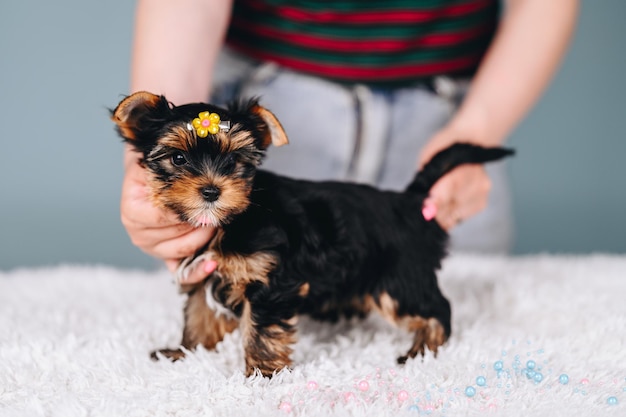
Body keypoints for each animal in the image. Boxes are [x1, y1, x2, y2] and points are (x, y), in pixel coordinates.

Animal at [112, 91, 512, 376]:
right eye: (178, 159)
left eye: (234, 161)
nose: (211, 191)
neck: (229, 220)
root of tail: (409, 201)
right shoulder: (202, 273)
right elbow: (197, 315)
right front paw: (185, 352)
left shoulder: (271, 279)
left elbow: (260, 328)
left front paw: (262, 375)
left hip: (398, 279)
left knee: (436, 307)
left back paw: (423, 350)